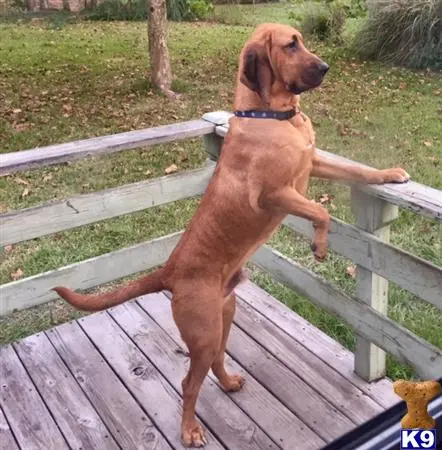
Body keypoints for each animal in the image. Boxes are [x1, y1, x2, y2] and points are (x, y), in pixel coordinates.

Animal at [53, 23, 410, 446]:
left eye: (302, 41)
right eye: (291, 46)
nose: (326, 67)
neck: (274, 113)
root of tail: (169, 272)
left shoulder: (315, 163)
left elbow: (358, 173)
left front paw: (390, 174)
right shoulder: (275, 194)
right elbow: (321, 211)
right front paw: (320, 245)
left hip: (226, 314)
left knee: (217, 362)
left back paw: (227, 383)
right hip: (204, 331)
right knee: (189, 383)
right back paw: (189, 430)